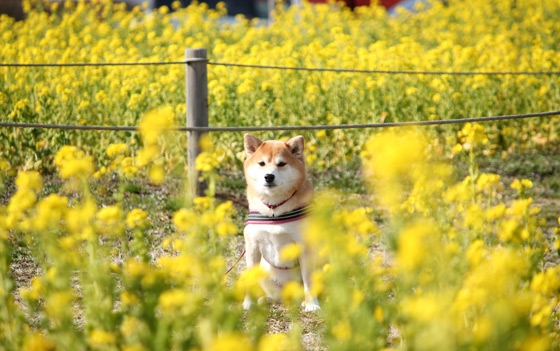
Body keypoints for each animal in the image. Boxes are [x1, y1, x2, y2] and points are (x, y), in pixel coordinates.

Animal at [241, 135, 320, 314]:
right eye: (262, 163)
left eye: (281, 164)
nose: (269, 176)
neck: (274, 209)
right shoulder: (253, 245)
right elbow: (249, 279)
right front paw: (249, 302)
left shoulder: (305, 246)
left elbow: (309, 281)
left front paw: (312, 304)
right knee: (275, 296)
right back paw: (265, 299)